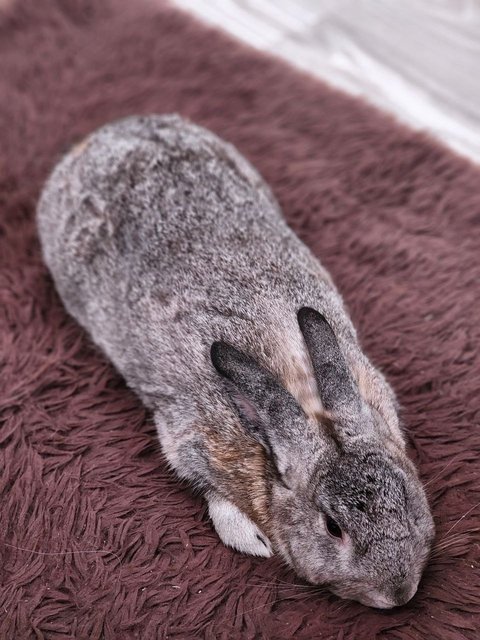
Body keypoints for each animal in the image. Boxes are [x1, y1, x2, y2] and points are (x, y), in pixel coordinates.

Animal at [38, 112, 436, 608]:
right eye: (333, 528)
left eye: (408, 499)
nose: (398, 593)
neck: (303, 401)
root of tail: (113, 131)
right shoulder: (192, 440)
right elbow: (209, 490)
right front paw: (252, 541)